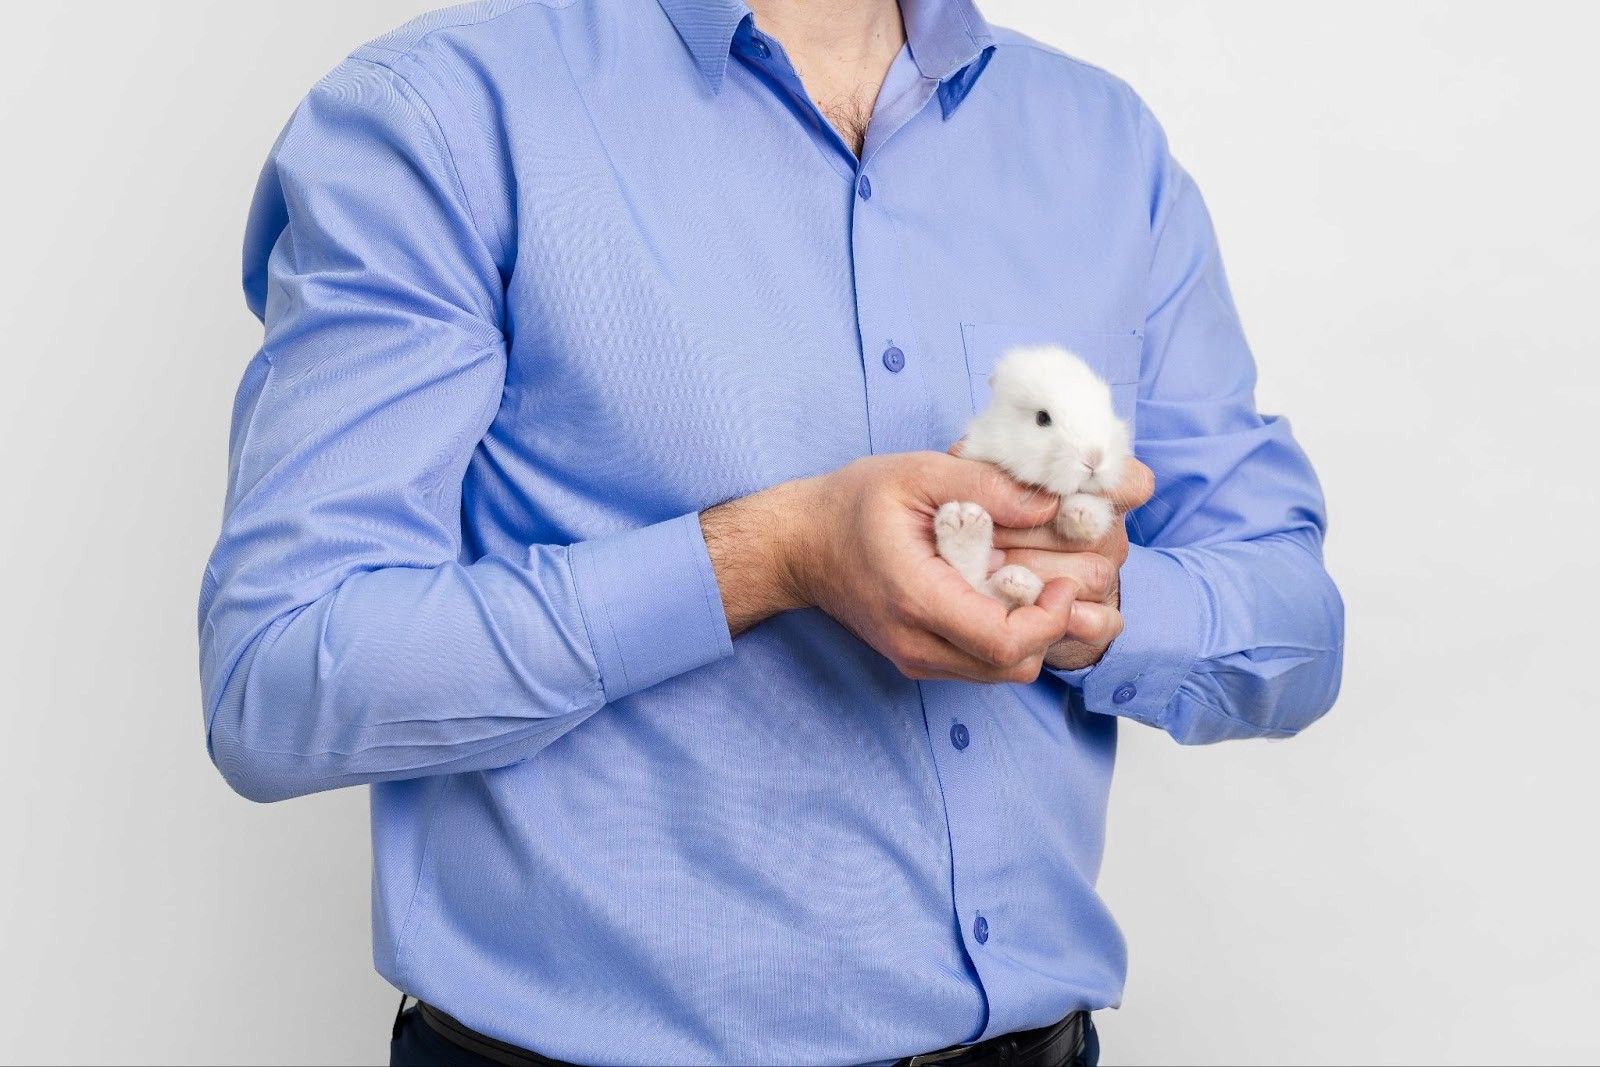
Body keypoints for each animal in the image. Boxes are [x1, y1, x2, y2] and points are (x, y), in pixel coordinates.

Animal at [935, 345, 1132, 608]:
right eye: (1042, 418)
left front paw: (1082, 514)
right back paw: (964, 527)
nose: (1094, 458)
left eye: (1107, 411)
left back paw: (1017, 582)